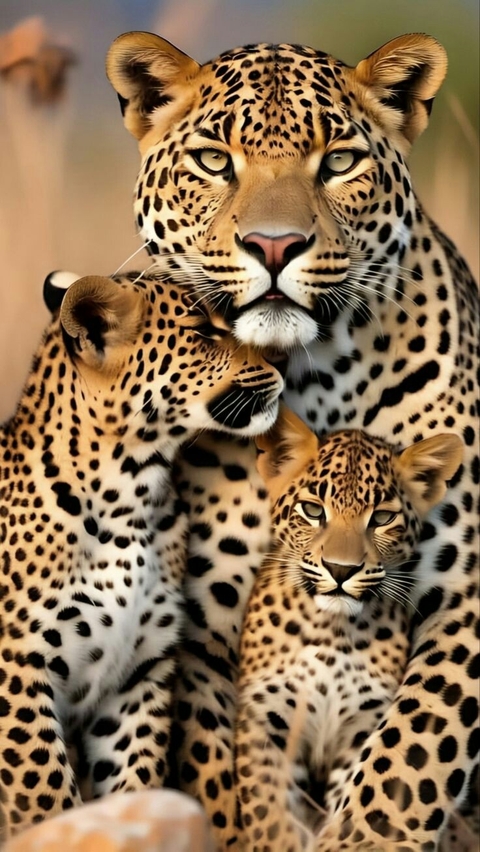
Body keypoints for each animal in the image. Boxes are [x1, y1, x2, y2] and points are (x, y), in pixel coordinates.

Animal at [0, 270, 282, 841]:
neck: (131, 490)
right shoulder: (16, 670)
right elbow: (45, 794)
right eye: (204, 332)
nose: (281, 368)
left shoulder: (139, 674)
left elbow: (137, 782)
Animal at [235, 404, 465, 852]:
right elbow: (268, 813)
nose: (341, 570)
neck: (331, 631)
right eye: (312, 510)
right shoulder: (266, 718)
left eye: (383, 518)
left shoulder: (360, 727)